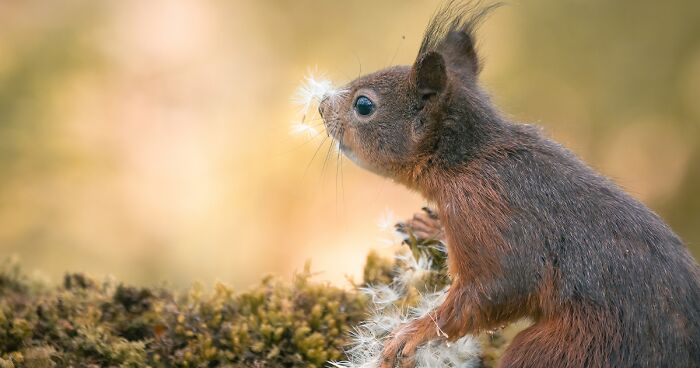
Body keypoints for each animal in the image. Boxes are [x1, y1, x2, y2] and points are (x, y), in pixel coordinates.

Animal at [318, 0, 700, 368]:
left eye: (364, 105)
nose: (321, 105)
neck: (469, 160)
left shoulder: (488, 212)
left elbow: (500, 287)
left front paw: (414, 332)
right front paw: (432, 228)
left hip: (566, 349)